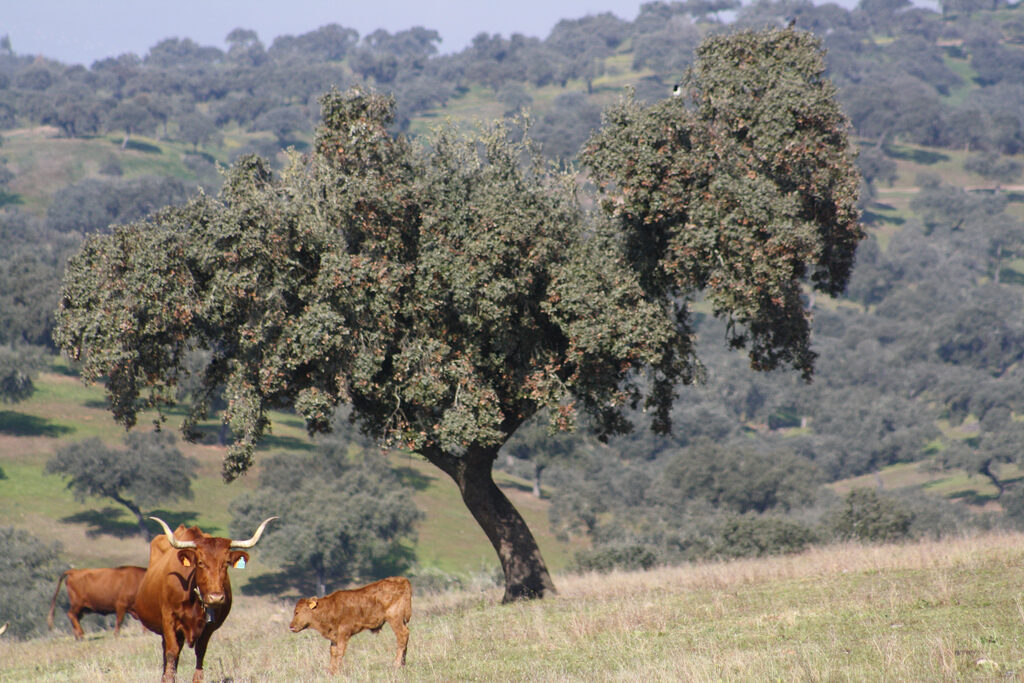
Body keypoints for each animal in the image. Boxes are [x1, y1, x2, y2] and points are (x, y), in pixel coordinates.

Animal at [134, 516, 276, 683]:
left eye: (226, 563)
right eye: (201, 563)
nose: (216, 597)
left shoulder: (209, 626)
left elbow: (200, 652)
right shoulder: (168, 619)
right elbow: (171, 652)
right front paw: (168, 677)